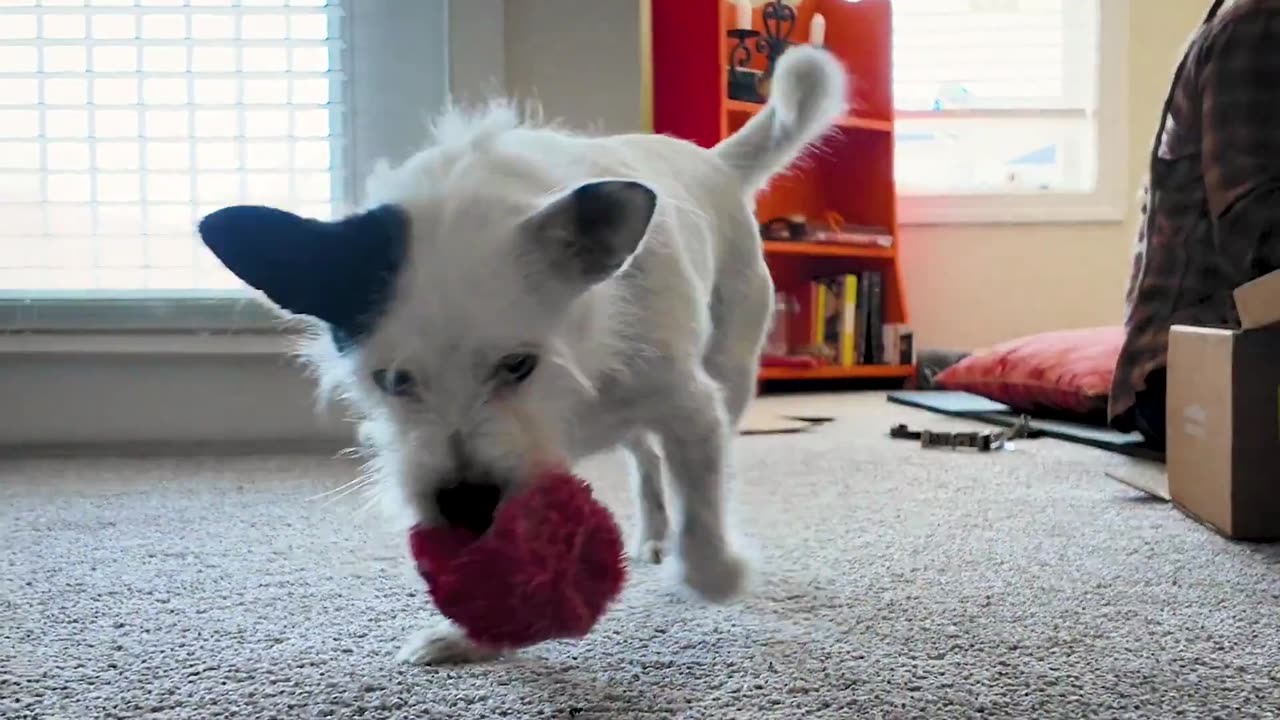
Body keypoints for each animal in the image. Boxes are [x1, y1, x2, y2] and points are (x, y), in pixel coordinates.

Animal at [194, 43, 844, 661]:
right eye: (393, 380)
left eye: (518, 365)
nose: (464, 502)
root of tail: (715, 163)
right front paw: (471, 637)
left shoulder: (691, 407)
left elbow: (703, 507)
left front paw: (713, 573)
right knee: (644, 459)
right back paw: (655, 531)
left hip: (731, 363)